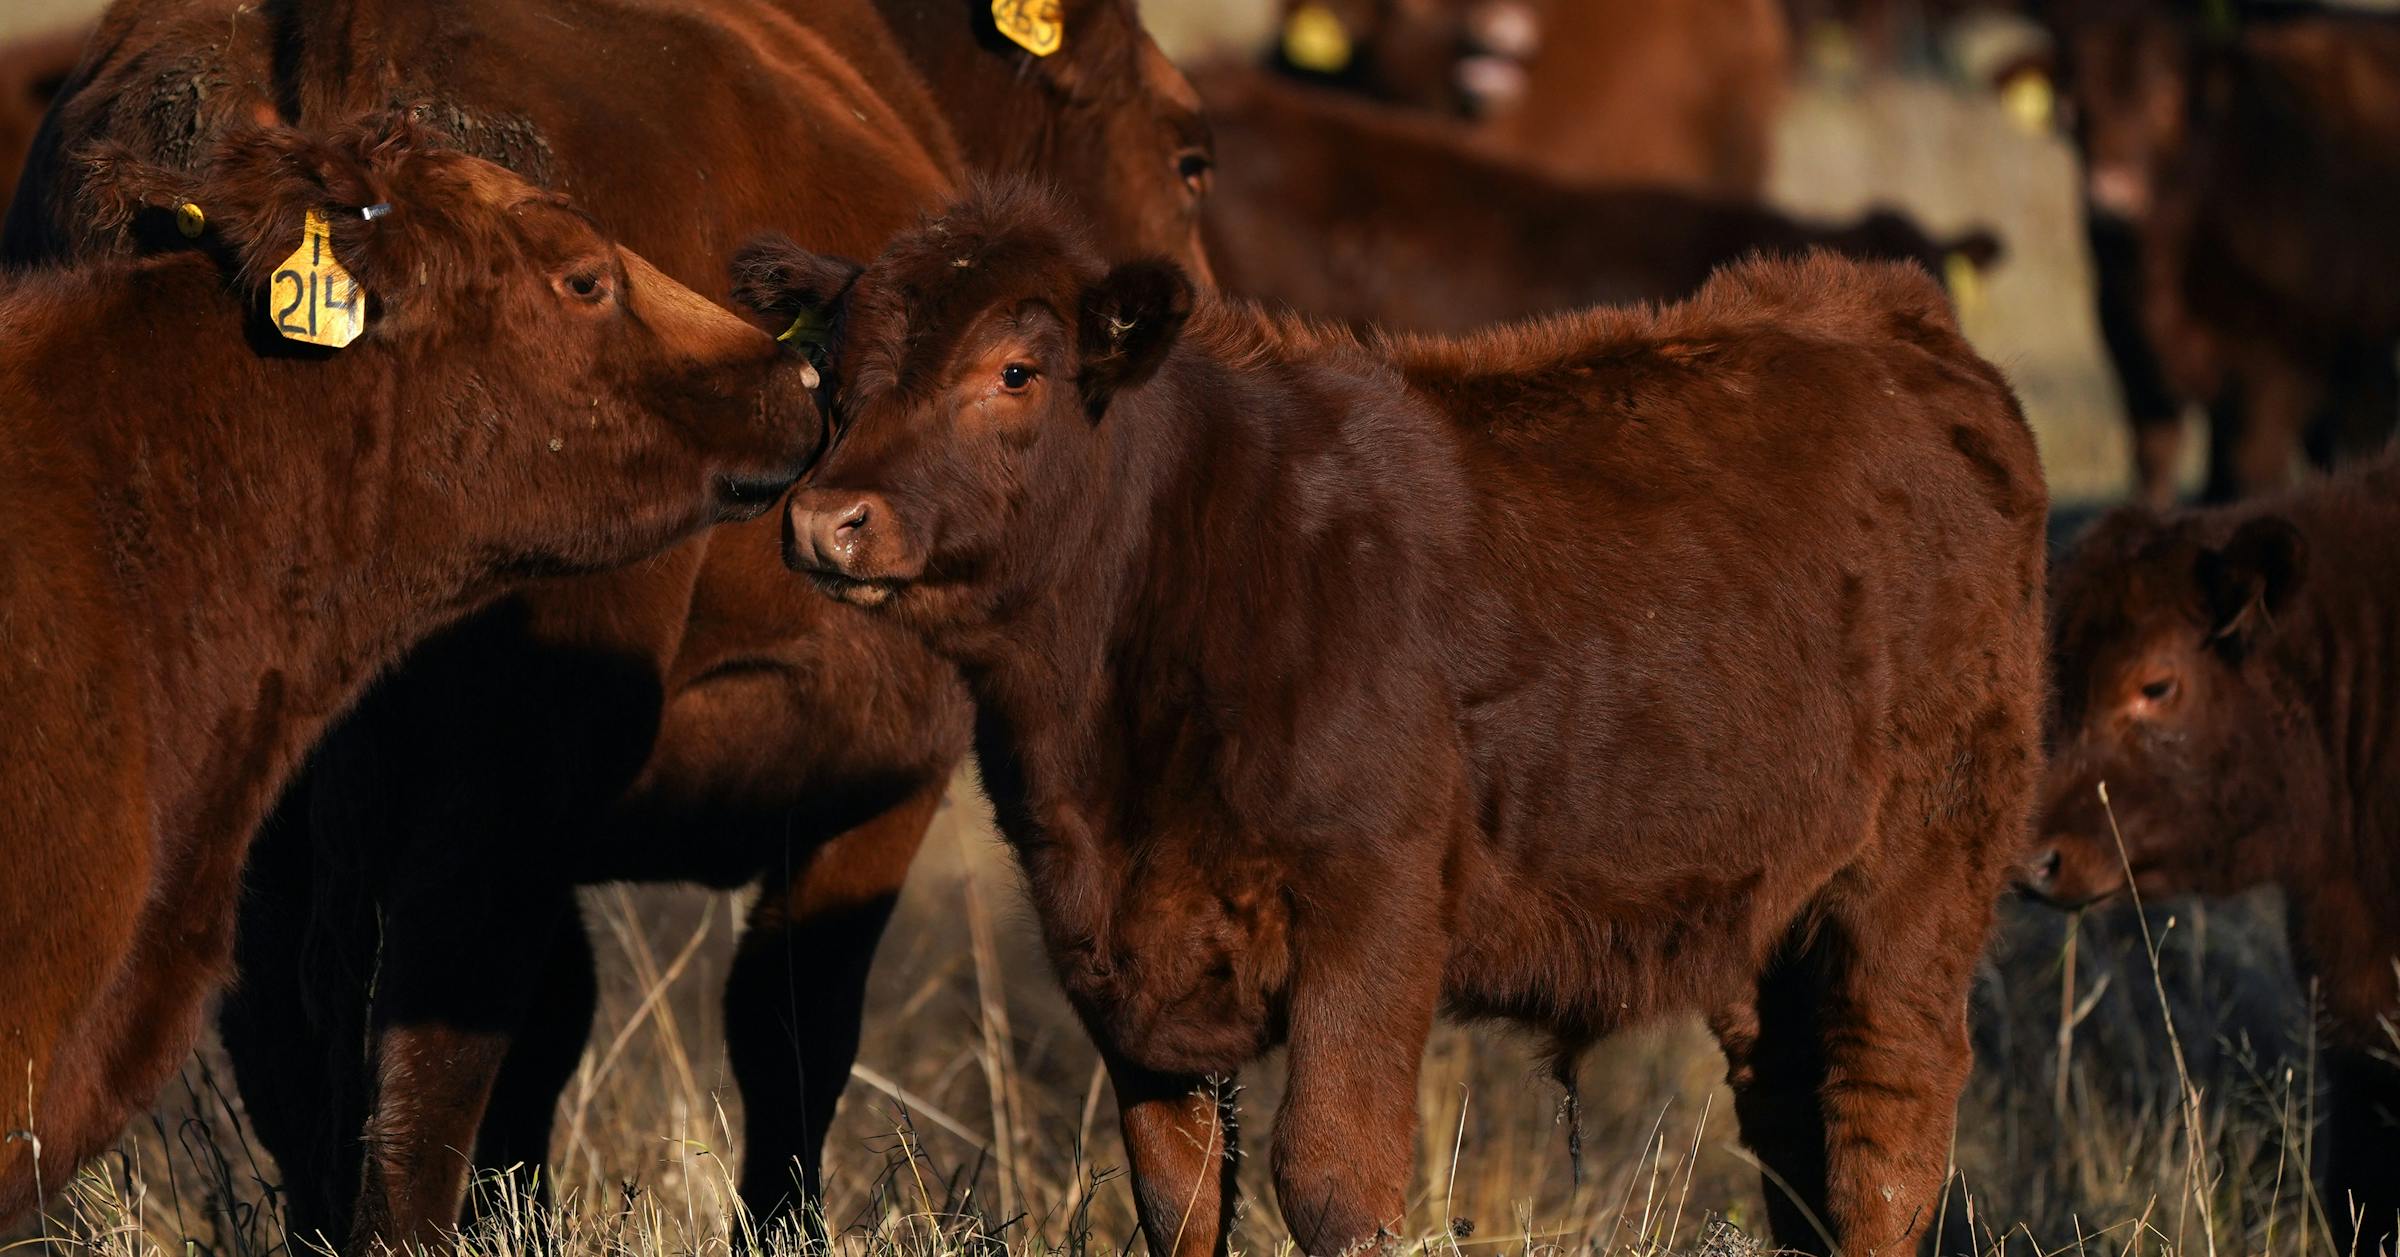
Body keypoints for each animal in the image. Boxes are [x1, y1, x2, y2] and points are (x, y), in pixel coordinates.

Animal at [753, 181, 2048, 1257]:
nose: (827, 520)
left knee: (1886, 1117)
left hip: (1920, 868)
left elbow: (1332, 1178)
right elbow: (1178, 1195)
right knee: (1788, 1115)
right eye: (828, 376)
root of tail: (1891, 318)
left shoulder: (1371, 913)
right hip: (1769, 914)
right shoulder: (1119, 961)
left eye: (1017, 371)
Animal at [2023, 3, 2400, 503]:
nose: (2111, 194)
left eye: (2166, 100)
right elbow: (2158, 470)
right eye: (2070, 107)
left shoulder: (2275, 372)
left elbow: (2250, 474)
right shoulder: (2135, 360)